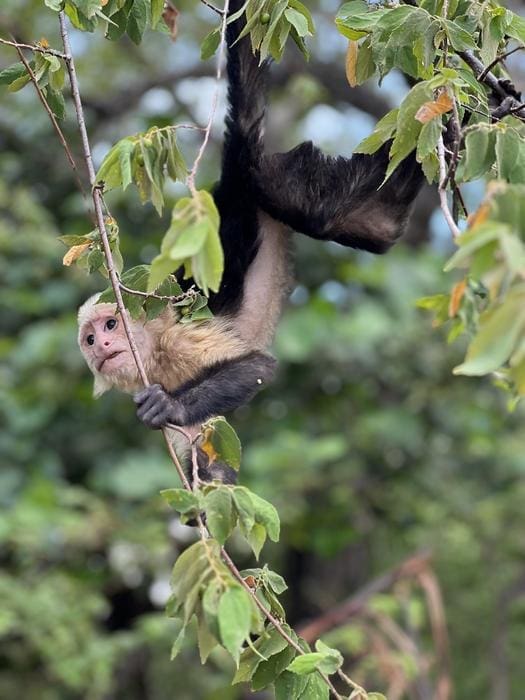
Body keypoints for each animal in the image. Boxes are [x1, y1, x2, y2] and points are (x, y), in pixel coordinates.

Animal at [78, 0, 423, 437]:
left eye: (110, 326)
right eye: (89, 340)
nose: (103, 347)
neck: (152, 352)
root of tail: (230, 181)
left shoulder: (177, 341)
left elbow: (258, 366)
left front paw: (171, 406)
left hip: (263, 176)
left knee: (303, 199)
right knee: (377, 227)